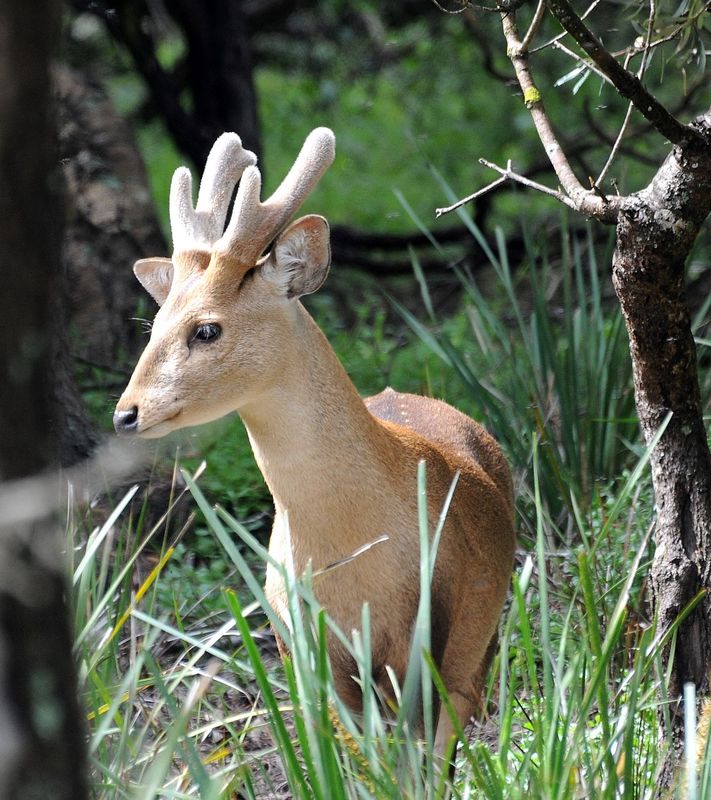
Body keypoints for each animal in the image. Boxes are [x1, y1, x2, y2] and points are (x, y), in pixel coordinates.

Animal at [113, 127, 516, 756]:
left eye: (207, 328)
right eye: (152, 326)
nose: (126, 413)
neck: (351, 554)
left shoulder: (431, 637)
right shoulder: (302, 646)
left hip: (481, 640)